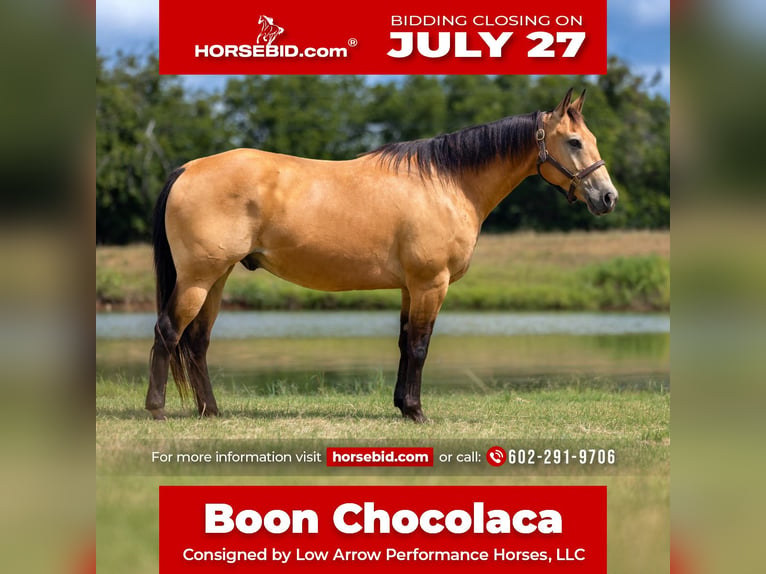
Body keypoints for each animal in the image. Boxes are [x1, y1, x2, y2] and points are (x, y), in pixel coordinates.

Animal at [146, 88, 619, 423]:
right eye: (574, 142)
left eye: (591, 140)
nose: (608, 197)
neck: (446, 183)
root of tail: (187, 169)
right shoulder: (431, 283)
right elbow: (420, 346)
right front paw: (417, 411)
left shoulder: (412, 287)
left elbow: (405, 342)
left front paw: (402, 406)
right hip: (197, 277)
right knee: (168, 331)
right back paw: (158, 408)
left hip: (217, 277)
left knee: (197, 341)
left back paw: (211, 410)